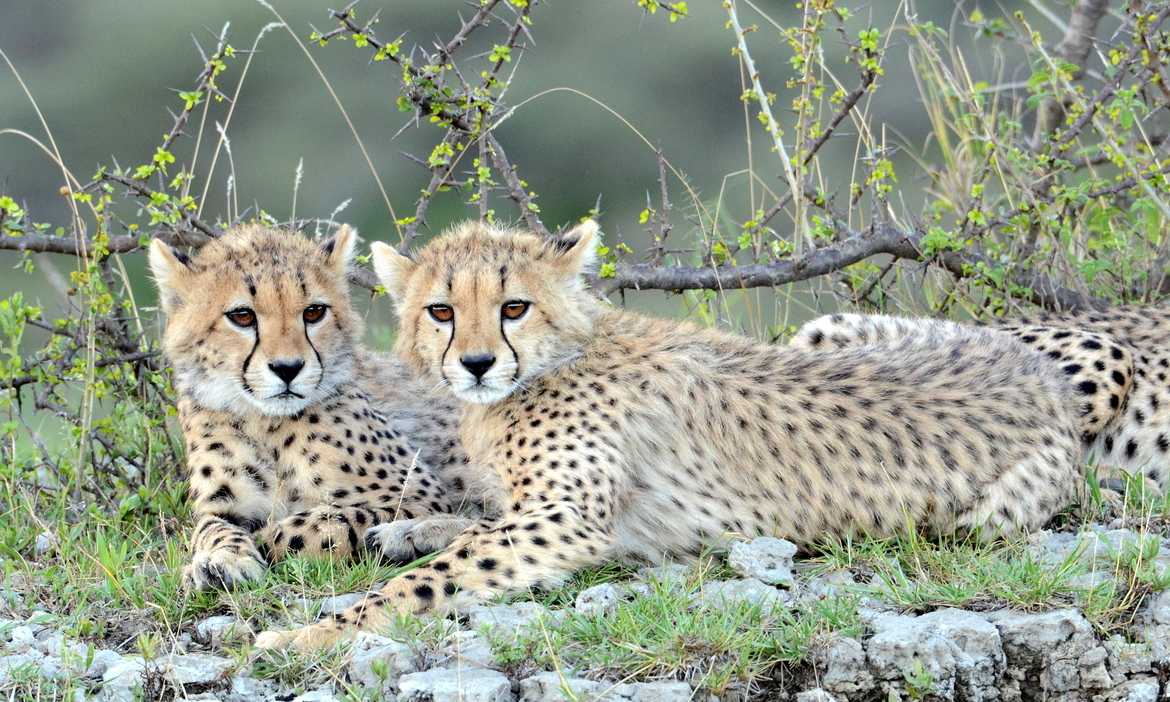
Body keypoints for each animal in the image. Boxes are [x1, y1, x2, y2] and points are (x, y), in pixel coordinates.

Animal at [149, 223, 474, 592]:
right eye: (242, 316)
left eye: (314, 312)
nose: (288, 368)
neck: (264, 422)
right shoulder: (221, 506)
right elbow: (209, 529)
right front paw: (221, 559)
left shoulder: (422, 494)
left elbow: (318, 523)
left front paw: (265, 539)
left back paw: (410, 535)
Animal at [255, 219, 1091, 650]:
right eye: (440, 311)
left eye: (513, 306)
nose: (477, 363)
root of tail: (1037, 371)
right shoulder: (539, 509)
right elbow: (473, 518)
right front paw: (410, 527)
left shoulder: (568, 519)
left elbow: (435, 576)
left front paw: (309, 637)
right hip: (832, 328)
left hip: (986, 518)